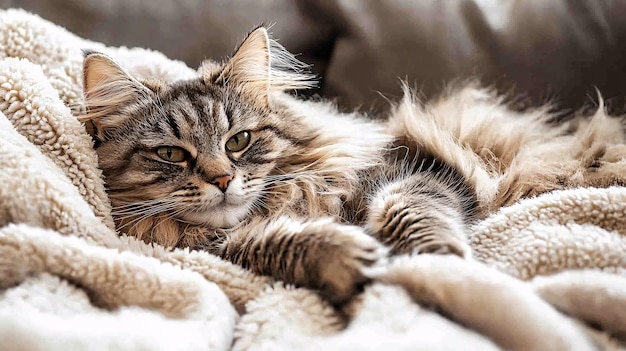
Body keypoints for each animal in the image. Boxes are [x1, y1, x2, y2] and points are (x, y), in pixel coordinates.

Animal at [80, 26, 624, 306]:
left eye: (240, 142)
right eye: (171, 154)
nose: (222, 179)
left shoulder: (417, 167)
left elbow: (411, 209)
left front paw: (436, 258)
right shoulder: (219, 248)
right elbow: (273, 243)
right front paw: (347, 257)